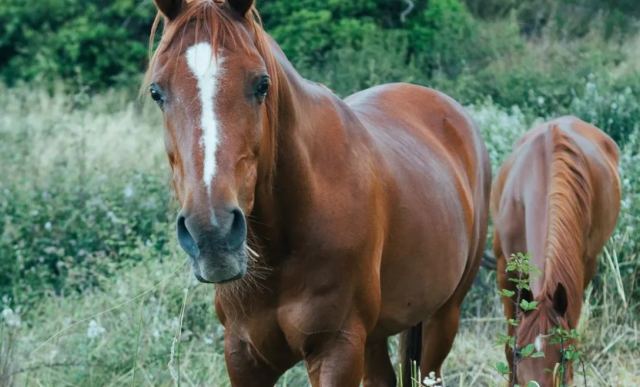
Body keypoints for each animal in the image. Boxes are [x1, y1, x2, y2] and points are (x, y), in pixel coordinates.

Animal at [146, 1, 490, 386]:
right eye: (157, 92)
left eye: (261, 84)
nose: (212, 234)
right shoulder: (243, 354)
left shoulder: (336, 350)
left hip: (442, 318)